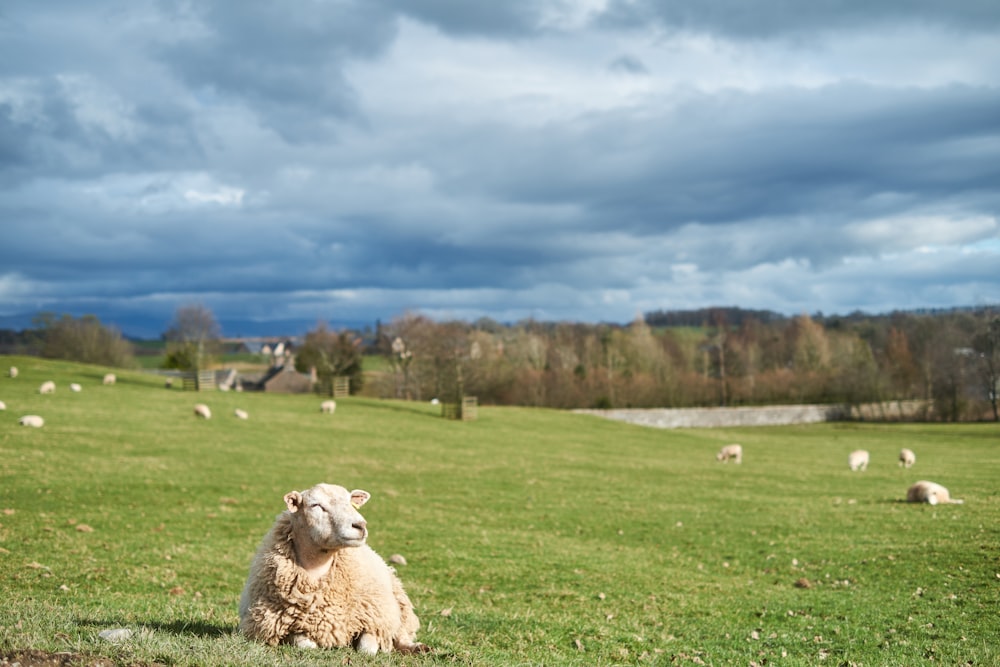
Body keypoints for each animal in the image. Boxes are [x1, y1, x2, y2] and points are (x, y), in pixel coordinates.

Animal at [244, 482, 432, 656]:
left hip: (399, 605)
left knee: (402, 635)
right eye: (316, 505)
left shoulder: (373, 619)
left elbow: (367, 649)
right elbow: (306, 645)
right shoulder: (283, 627)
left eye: (351, 502)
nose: (360, 525)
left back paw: (418, 648)